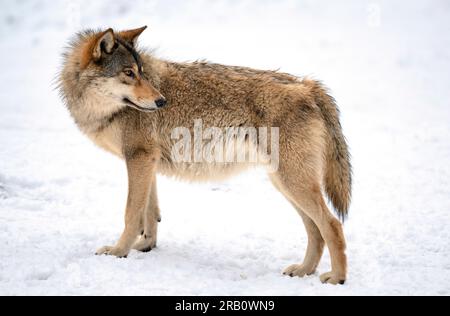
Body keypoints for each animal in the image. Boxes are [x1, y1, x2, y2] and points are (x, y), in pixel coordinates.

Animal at [58, 25, 352, 286]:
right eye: (129, 73)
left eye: (139, 72)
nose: (161, 101)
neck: (103, 111)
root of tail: (309, 86)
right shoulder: (147, 162)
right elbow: (150, 212)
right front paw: (146, 245)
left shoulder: (138, 158)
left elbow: (131, 213)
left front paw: (118, 252)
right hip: (284, 183)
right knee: (315, 230)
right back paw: (304, 271)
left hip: (292, 182)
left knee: (332, 224)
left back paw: (336, 278)